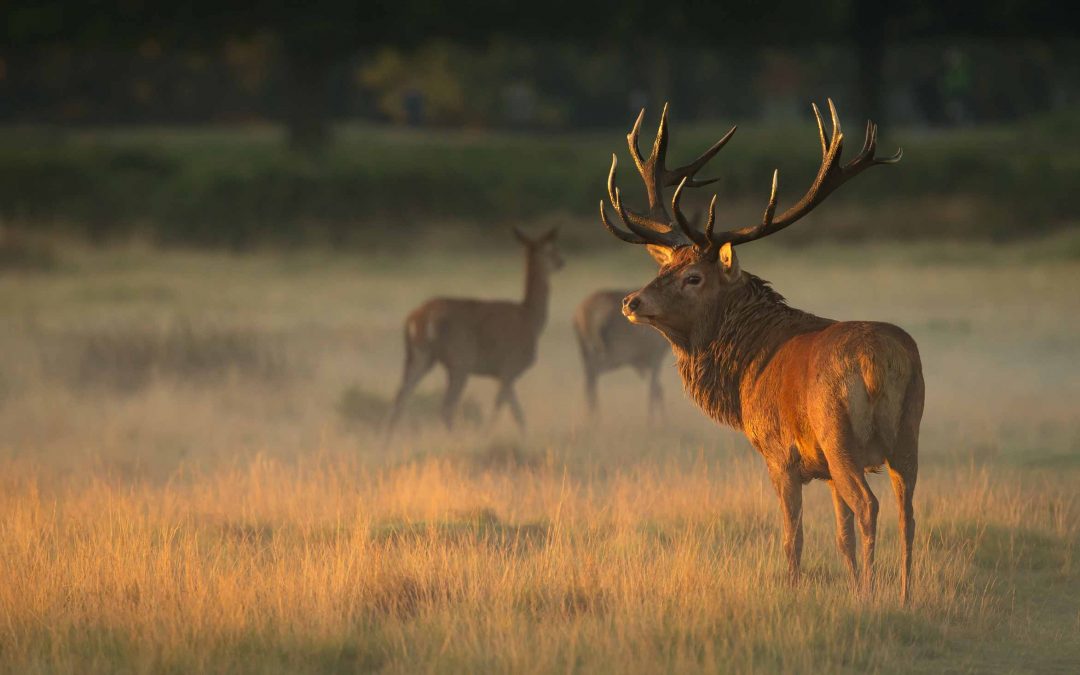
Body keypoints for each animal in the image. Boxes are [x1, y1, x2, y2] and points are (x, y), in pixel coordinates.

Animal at [384, 227, 561, 432]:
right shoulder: (510, 366)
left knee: (400, 398)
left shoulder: (501, 373)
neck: (531, 318)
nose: (561, 262)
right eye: (551, 249)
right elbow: (503, 408)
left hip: (420, 355)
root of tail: (416, 318)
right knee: (446, 407)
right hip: (459, 360)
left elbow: (518, 414)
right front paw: (488, 433)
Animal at [574, 291, 665, 421]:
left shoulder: (644, 361)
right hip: (616, 352)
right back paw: (594, 418)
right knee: (593, 374)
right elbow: (654, 389)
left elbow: (658, 389)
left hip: (587, 351)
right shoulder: (656, 354)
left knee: (588, 377)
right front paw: (653, 422)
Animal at [596, 102, 924, 604]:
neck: (747, 367)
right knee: (907, 514)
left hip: (838, 434)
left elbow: (794, 537)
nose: (631, 302)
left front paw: (796, 590)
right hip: (909, 432)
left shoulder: (778, 452)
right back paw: (903, 595)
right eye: (664, 267)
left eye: (693, 276)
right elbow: (841, 536)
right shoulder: (826, 468)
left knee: (870, 506)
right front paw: (850, 588)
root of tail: (878, 364)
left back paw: (874, 594)